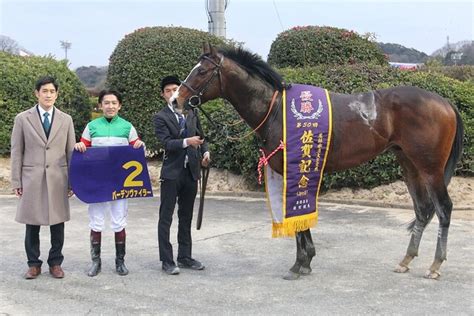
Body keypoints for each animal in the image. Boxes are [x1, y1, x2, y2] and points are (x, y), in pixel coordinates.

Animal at [170, 43, 462, 280]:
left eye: (201, 71)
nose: (176, 101)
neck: (276, 110)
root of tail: (446, 103)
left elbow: (298, 215)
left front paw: (300, 264)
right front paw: (305, 262)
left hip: (430, 168)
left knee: (444, 208)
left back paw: (435, 265)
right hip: (409, 164)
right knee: (423, 209)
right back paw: (406, 260)